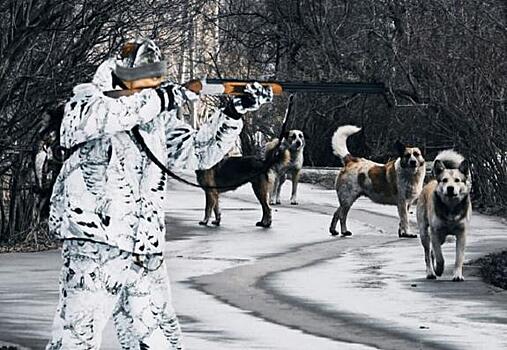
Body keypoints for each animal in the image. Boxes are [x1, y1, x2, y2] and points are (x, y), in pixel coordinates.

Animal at [416, 150, 472, 282]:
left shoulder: (461, 233)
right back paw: (431, 272)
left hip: (442, 237)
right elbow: (440, 256)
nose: (450, 188)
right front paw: (439, 269)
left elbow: (459, 257)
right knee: (428, 253)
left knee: (432, 251)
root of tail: (431, 180)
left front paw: (457, 275)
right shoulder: (435, 232)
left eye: (457, 180)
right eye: (444, 180)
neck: (450, 207)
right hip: (425, 232)